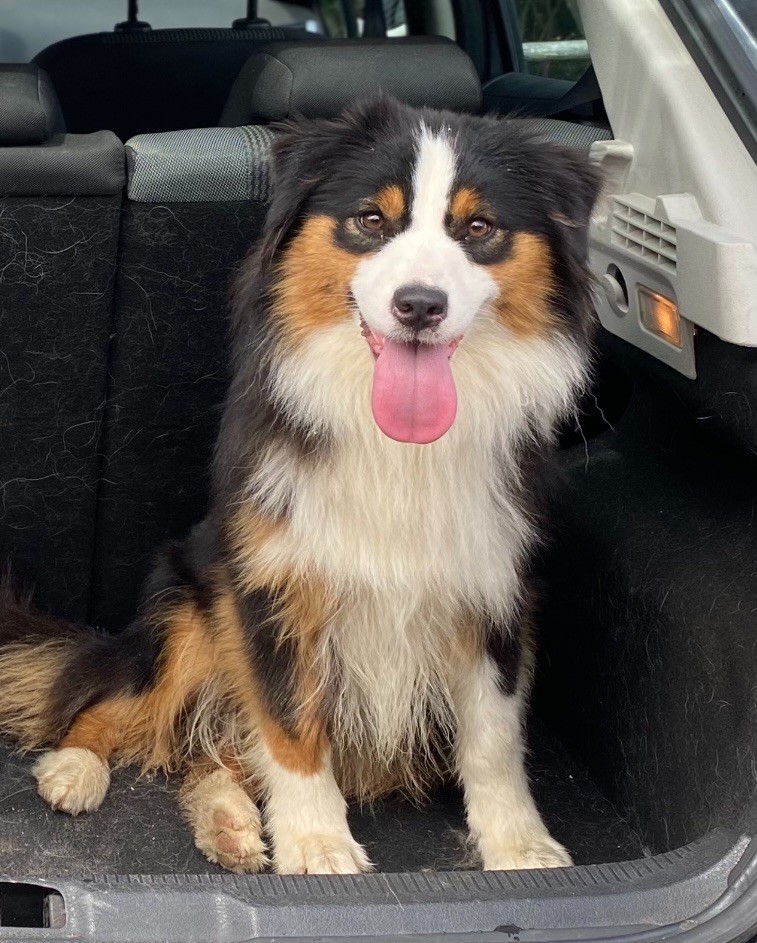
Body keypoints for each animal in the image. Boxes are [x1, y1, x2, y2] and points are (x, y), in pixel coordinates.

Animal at [0, 95, 600, 875]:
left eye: (479, 228)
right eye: (371, 219)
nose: (419, 305)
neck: (398, 446)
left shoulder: (494, 585)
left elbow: (494, 735)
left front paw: (518, 845)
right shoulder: (273, 584)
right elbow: (289, 721)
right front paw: (317, 844)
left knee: (211, 755)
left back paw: (228, 825)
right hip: (191, 608)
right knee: (118, 704)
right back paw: (75, 770)